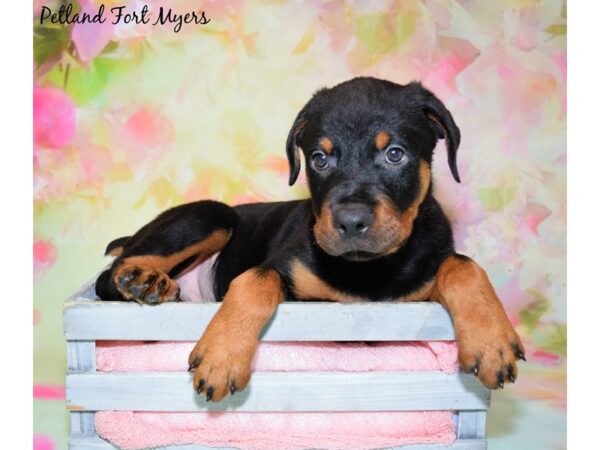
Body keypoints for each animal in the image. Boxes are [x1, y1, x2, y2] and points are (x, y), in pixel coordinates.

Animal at [95, 76, 524, 400]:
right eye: (319, 158)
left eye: (395, 154)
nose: (351, 222)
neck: (367, 269)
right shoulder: (286, 266)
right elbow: (253, 280)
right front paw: (222, 356)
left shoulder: (423, 278)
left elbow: (463, 264)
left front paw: (491, 343)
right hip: (212, 215)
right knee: (109, 275)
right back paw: (144, 278)